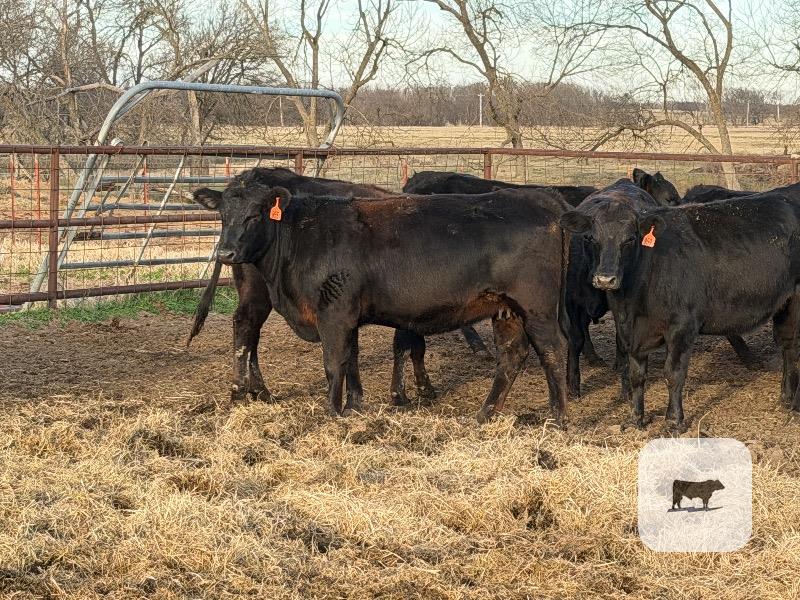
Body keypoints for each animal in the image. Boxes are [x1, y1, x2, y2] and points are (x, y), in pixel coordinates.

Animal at [192, 171, 572, 425]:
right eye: (222, 215)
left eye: (255, 214)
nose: (225, 252)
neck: (301, 235)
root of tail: (542, 200)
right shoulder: (346, 315)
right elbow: (352, 357)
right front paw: (354, 406)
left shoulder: (334, 314)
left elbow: (334, 362)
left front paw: (332, 412)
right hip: (506, 309)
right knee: (511, 355)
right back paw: (486, 413)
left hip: (535, 307)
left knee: (553, 350)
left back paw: (558, 417)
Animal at [560, 181, 800, 429]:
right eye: (590, 238)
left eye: (629, 239)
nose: (605, 279)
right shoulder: (632, 332)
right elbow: (637, 375)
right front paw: (636, 418)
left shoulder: (682, 326)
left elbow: (673, 374)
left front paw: (674, 420)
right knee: (788, 347)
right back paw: (785, 399)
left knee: (792, 347)